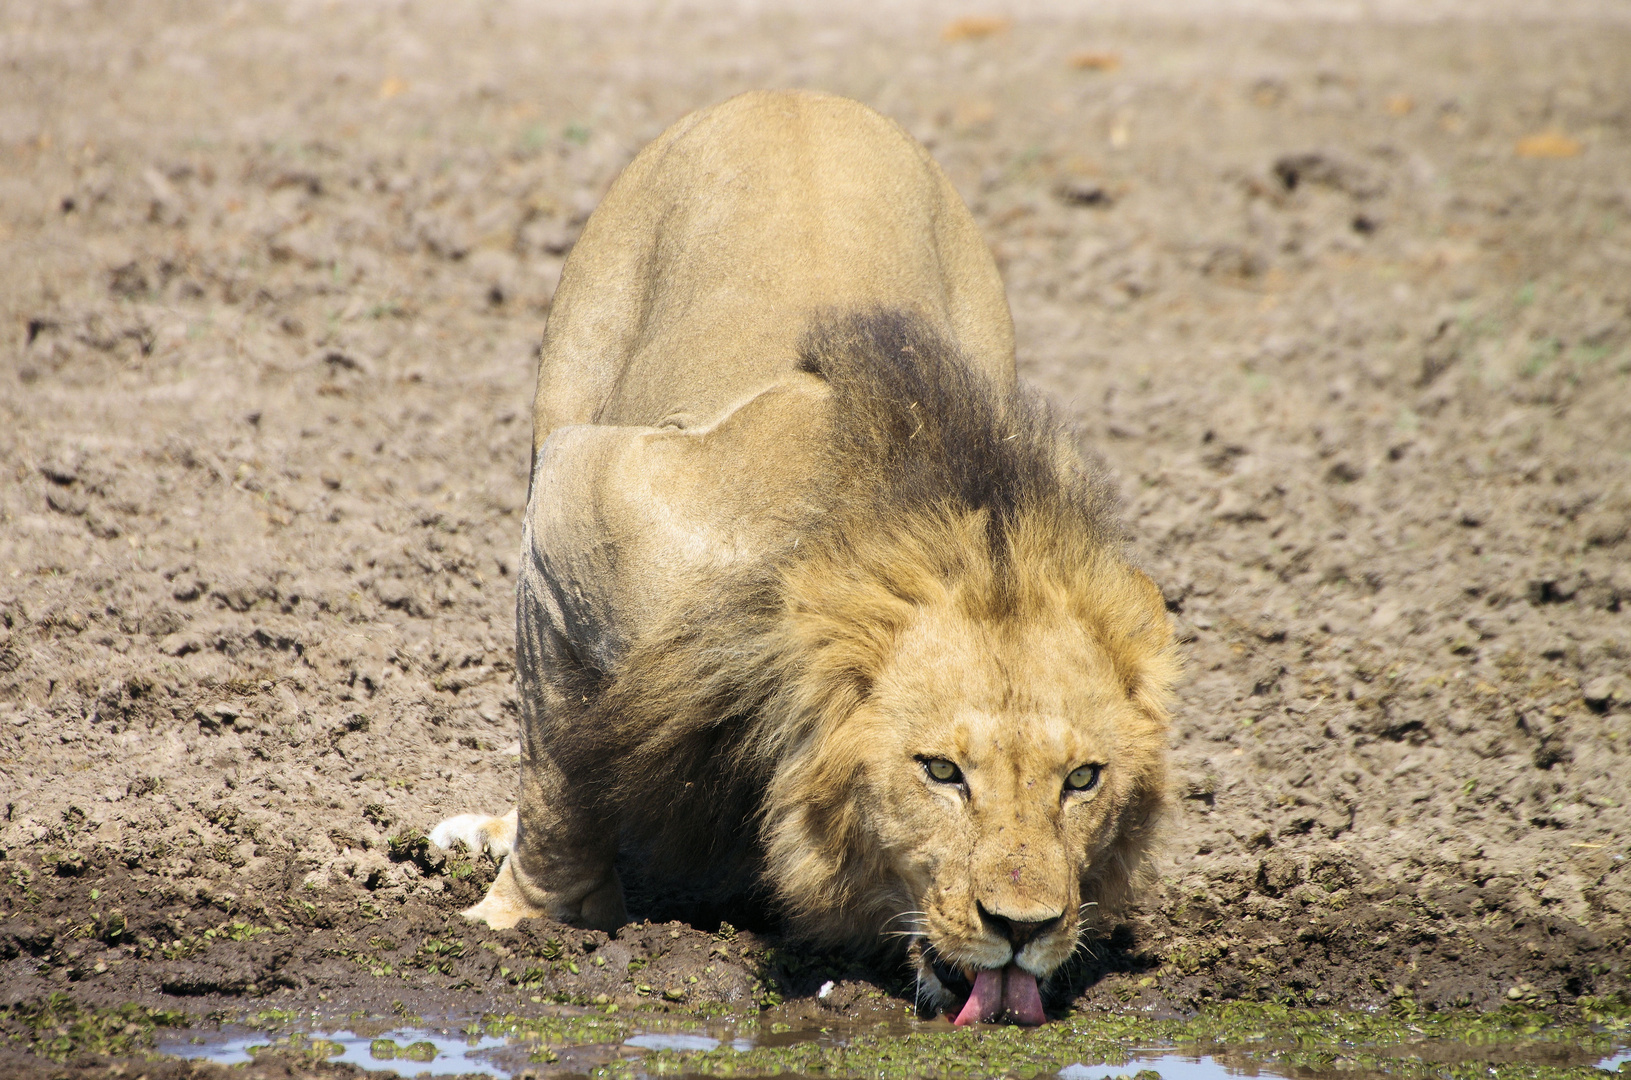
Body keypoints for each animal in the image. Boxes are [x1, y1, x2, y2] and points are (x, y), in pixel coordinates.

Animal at [427, 88, 1180, 1031]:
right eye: (940, 772)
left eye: (1081, 779)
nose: (1023, 927)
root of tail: (792, 94)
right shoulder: (578, 509)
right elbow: (557, 781)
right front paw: (520, 922)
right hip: (568, 372)